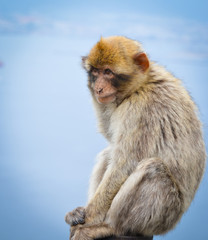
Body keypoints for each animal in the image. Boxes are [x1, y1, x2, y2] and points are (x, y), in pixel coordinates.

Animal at [65, 36, 206, 240]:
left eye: (108, 72)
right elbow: (113, 149)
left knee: (153, 168)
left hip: (163, 214)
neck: (141, 85)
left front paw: (88, 218)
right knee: (109, 153)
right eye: (96, 72)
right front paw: (79, 214)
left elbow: (123, 165)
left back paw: (110, 227)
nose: (98, 88)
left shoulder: (139, 111)